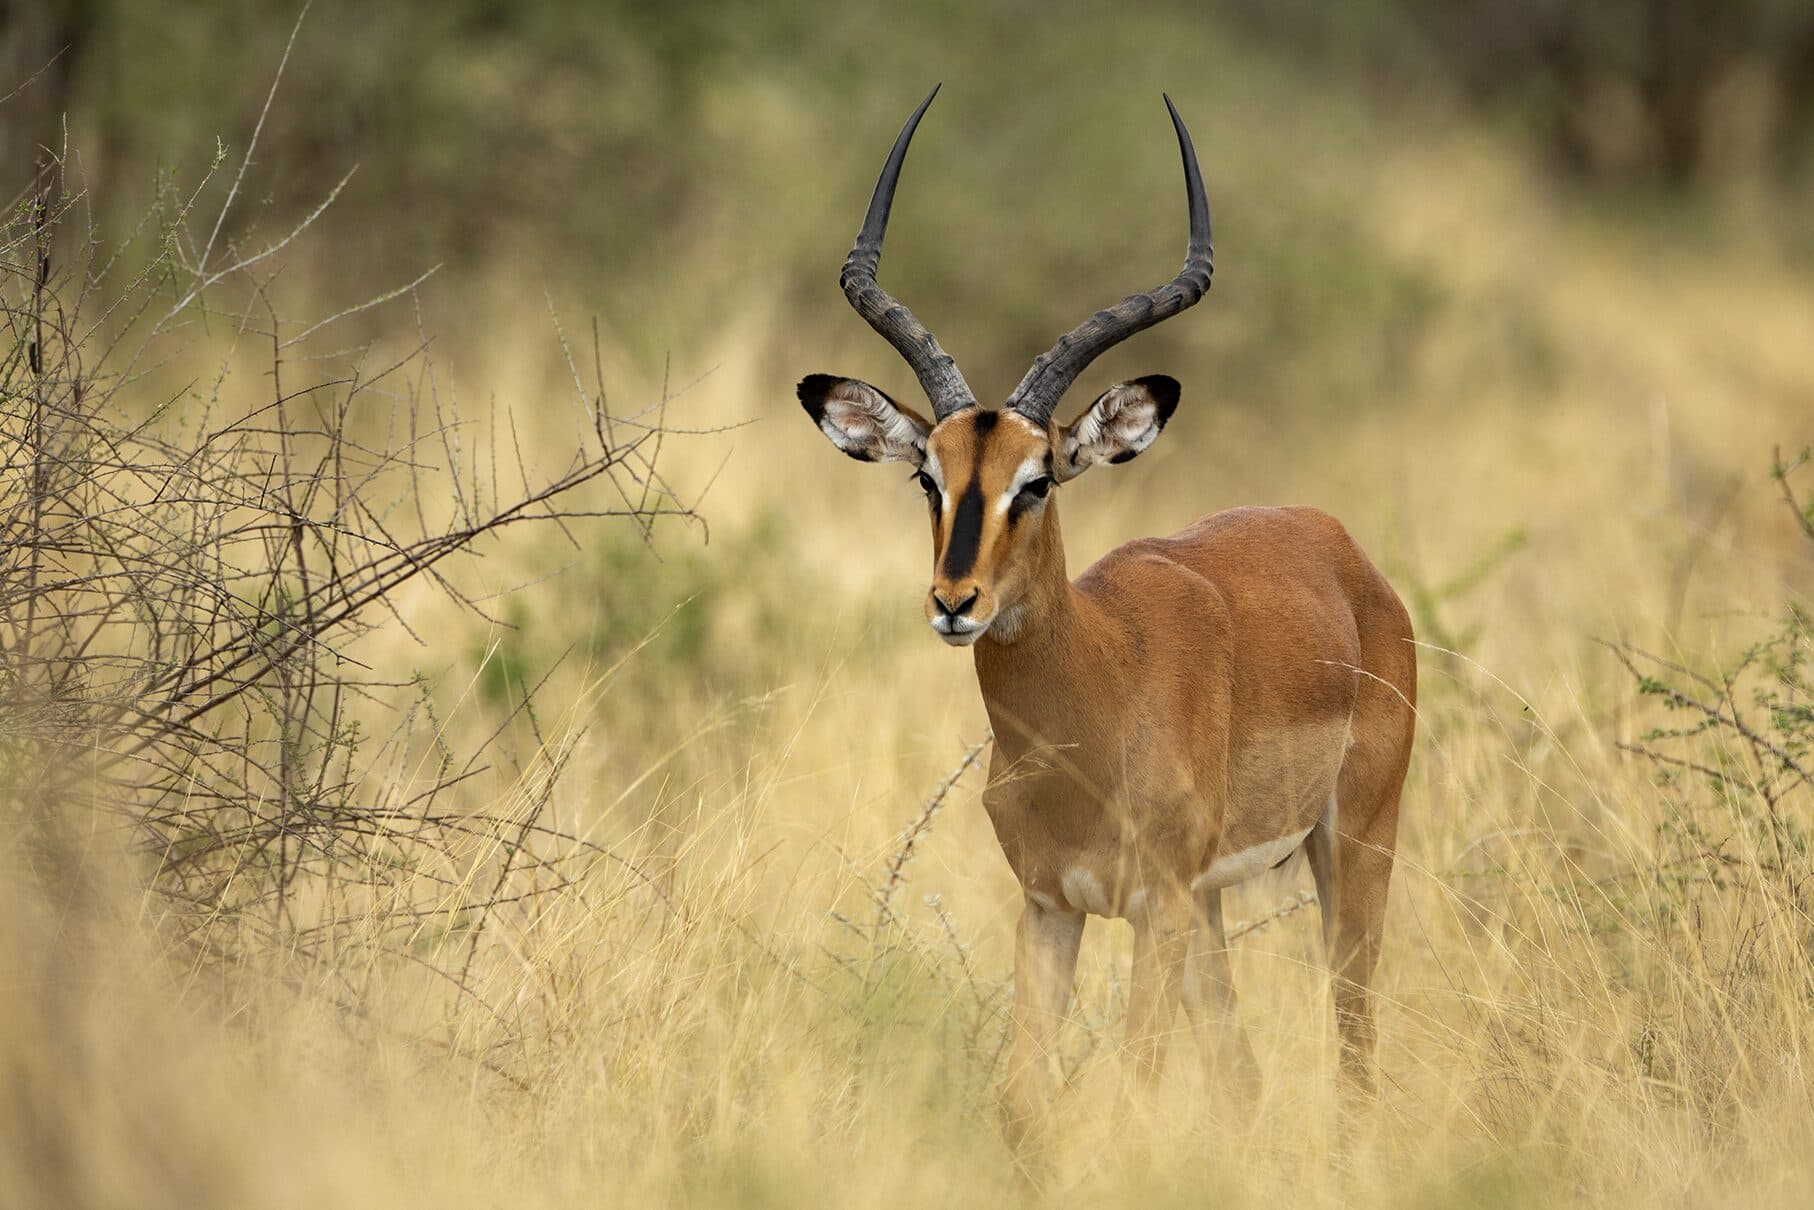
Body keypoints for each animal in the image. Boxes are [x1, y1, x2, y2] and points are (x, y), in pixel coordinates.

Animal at [797, 88, 1417, 1143]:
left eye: (1039, 480)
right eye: (929, 478)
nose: (955, 602)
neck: (1097, 689)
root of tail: (1342, 550)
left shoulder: (1151, 908)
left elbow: (1132, 1097)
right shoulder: (1051, 905)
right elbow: (1024, 1102)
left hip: (1349, 850)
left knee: (1356, 1053)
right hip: (1209, 907)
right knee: (1243, 1077)